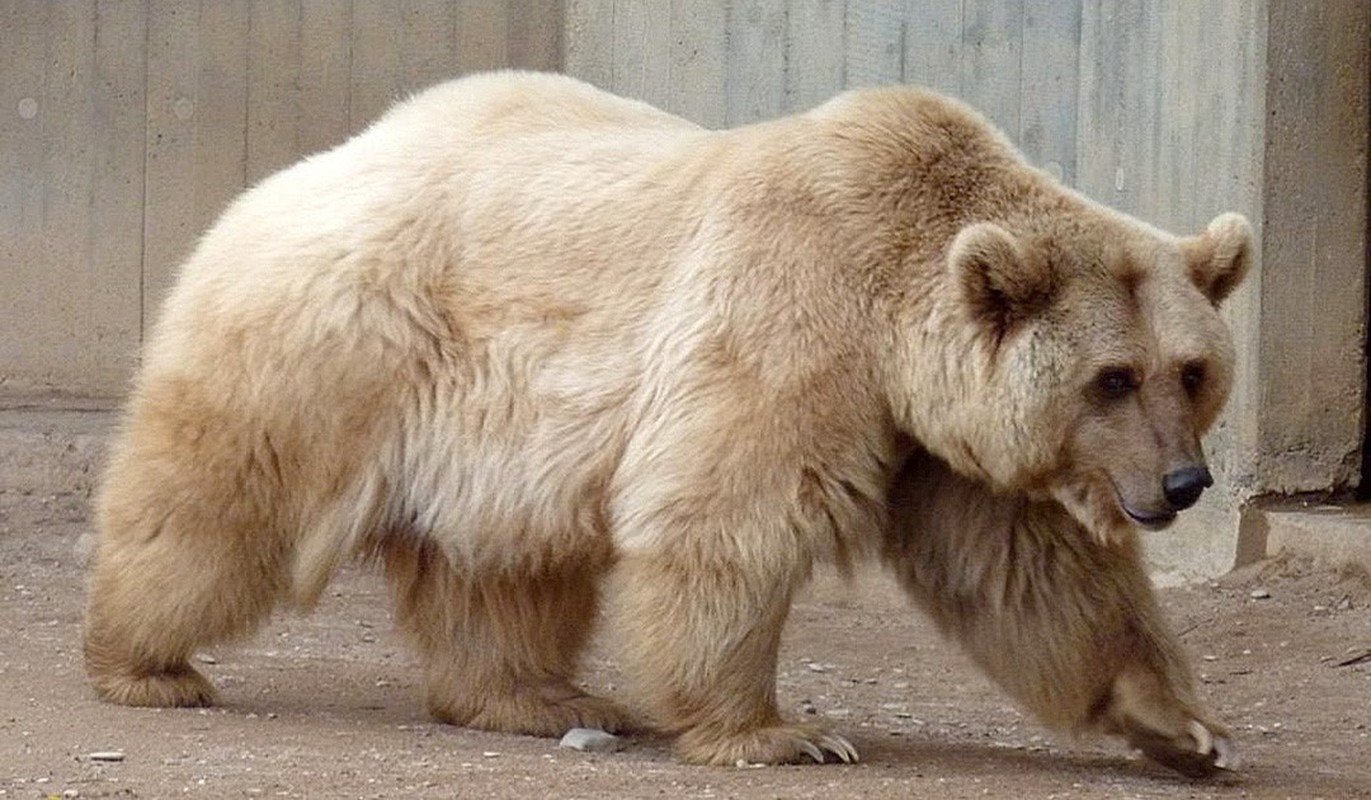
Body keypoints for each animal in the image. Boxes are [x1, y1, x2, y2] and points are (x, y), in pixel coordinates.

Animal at [80, 73, 1250, 772]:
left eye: (1191, 371)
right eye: (1111, 377)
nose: (1183, 484)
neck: (895, 313)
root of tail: (285, 176)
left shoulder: (935, 439)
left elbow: (1030, 571)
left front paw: (1184, 725)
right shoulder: (794, 318)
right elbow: (729, 514)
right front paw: (784, 731)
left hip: (493, 432)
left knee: (502, 569)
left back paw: (537, 694)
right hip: (338, 345)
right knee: (219, 503)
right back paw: (144, 662)